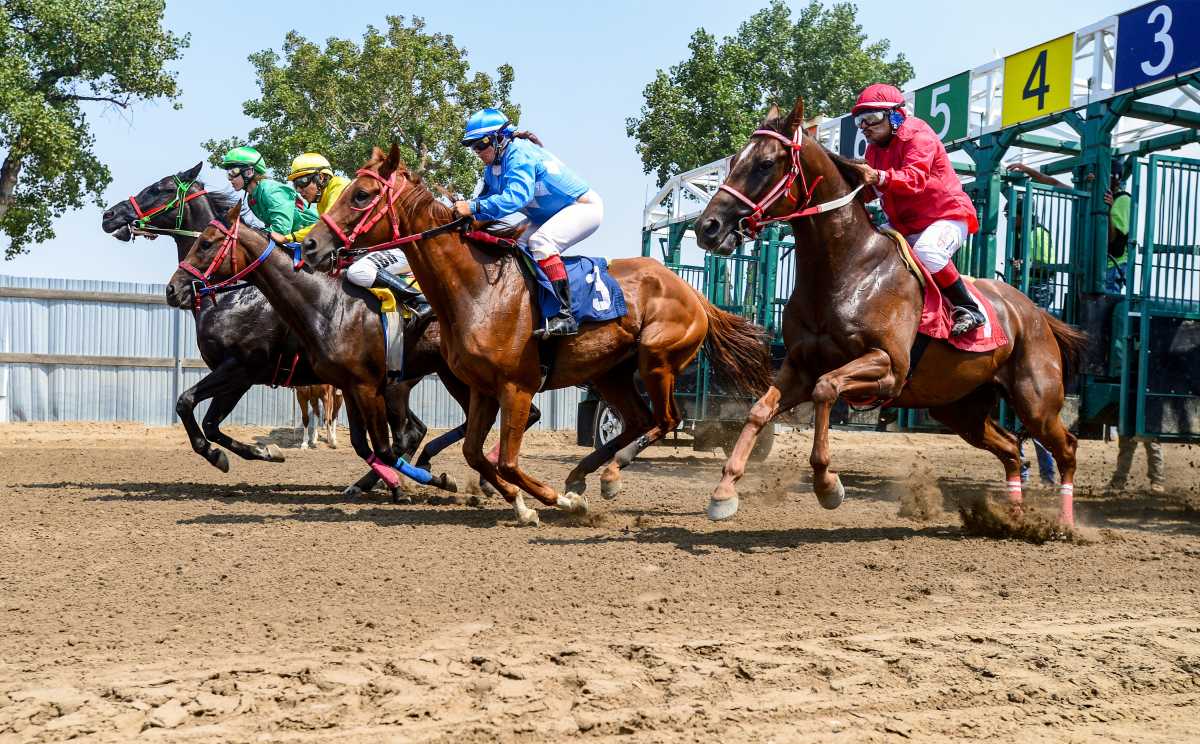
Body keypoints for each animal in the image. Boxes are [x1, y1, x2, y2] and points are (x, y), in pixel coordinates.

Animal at [299, 144, 774, 525]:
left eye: (361, 195)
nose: (312, 246)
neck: (478, 291)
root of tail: (694, 294)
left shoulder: (517, 386)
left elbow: (508, 461)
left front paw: (554, 504)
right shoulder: (482, 388)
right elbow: (475, 453)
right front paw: (525, 504)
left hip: (656, 362)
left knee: (666, 419)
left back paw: (607, 477)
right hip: (609, 372)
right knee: (638, 420)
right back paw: (581, 476)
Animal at [693, 98, 1089, 526]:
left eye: (766, 163)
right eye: (734, 160)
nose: (707, 227)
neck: (848, 269)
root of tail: (1035, 313)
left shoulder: (889, 367)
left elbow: (825, 389)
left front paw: (827, 484)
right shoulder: (798, 365)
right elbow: (758, 411)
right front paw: (724, 490)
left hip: (1036, 400)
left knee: (1066, 446)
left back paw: (1065, 523)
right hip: (959, 408)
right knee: (1011, 448)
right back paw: (1012, 517)